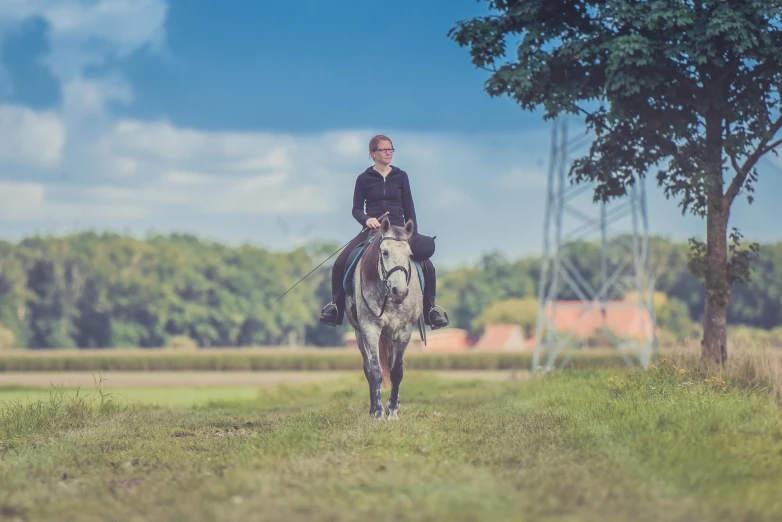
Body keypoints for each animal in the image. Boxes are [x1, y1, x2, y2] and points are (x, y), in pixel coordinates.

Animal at [348, 215, 426, 418]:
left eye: (409, 254)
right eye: (384, 252)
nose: (400, 291)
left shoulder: (404, 330)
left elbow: (396, 371)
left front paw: (392, 412)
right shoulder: (369, 328)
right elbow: (375, 370)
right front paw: (377, 412)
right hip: (359, 334)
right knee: (368, 368)